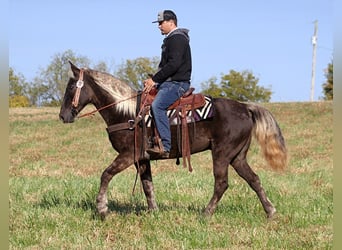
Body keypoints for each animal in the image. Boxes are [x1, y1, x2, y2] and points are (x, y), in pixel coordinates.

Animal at [59, 61, 288, 220]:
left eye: (71, 88)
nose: (63, 116)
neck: (127, 113)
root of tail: (245, 107)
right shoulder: (142, 159)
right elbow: (147, 185)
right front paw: (154, 212)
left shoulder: (128, 155)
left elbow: (106, 175)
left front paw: (102, 209)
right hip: (237, 157)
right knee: (254, 179)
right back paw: (270, 211)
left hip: (222, 154)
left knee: (221, 184)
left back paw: (206, 213)